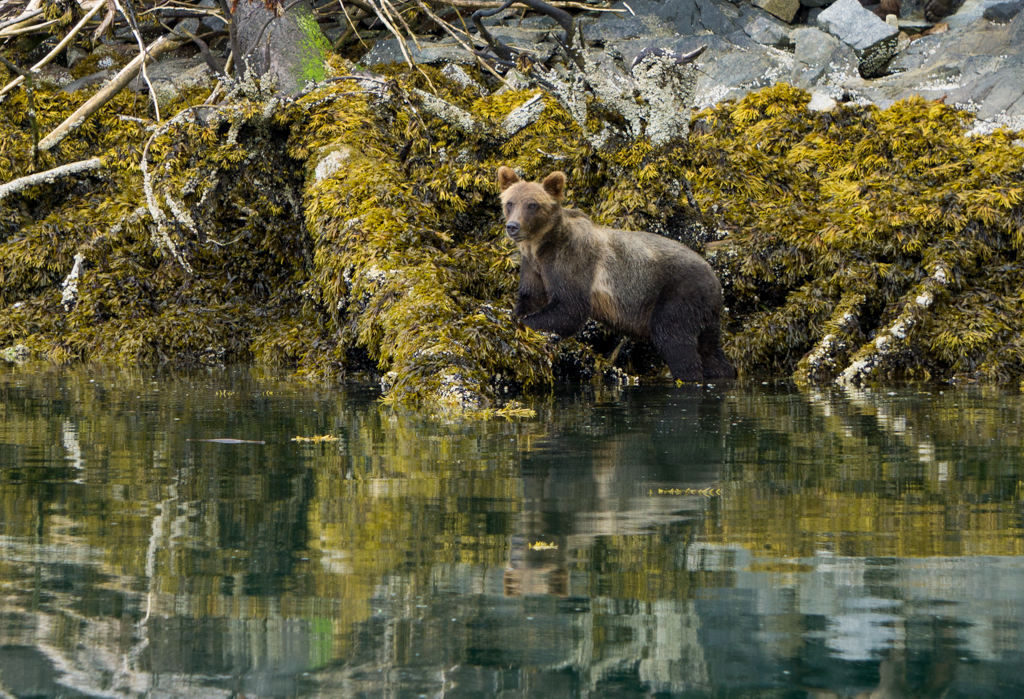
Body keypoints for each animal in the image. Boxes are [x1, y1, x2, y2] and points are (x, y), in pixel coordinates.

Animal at [497, 165, 733, 380]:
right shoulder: (533, 267)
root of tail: (715, 279)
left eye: (532, 204)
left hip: (679, 294)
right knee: (711, 350)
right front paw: (516, 314)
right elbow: (531, 297)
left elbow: (569, 308)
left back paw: (688, 375)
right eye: (510, 203)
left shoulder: (571, 261)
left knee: (674, 338)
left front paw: (525, 323)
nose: (513, 226)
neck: (541, 245)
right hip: (705, 313)